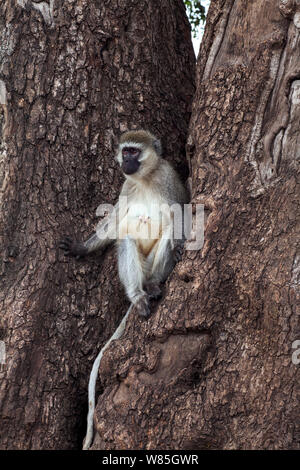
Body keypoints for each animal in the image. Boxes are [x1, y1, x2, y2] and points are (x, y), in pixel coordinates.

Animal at [59, 130, 189, 450]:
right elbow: (115, 221)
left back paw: (153, 285)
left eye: (134, 152)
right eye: (125, 151)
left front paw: (182, 244)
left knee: (167, 232)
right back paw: (139, 296)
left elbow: (182, 212)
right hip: (139, 267)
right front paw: (82, 247)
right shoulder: (126, 186)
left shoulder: (169, 178)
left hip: (153, 265)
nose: (125, 162)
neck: (144, 178)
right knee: (127, 240)